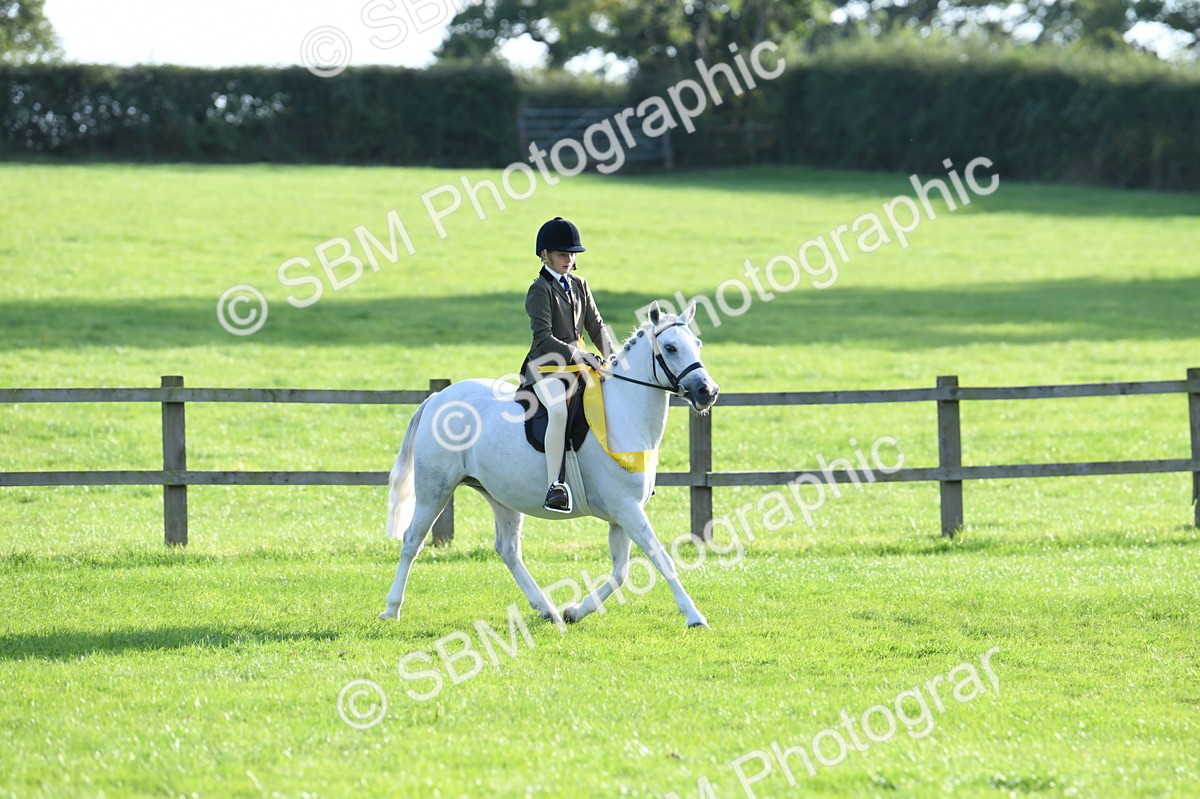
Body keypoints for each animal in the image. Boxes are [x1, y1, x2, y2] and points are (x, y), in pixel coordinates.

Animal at [379, 301, 720, 628]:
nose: (708, 391)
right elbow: (660, 557)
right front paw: (694, 616)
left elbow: (620, 572)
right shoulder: (626, 507)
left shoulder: (621, 513)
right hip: (434, 489)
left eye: (698, 344)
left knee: (508, 550)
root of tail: (437, 397)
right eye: (671, 348)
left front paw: (576, 611)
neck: (624, 412)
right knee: (412, 542)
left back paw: (549, 610)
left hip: (501, 495)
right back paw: (391, 609)